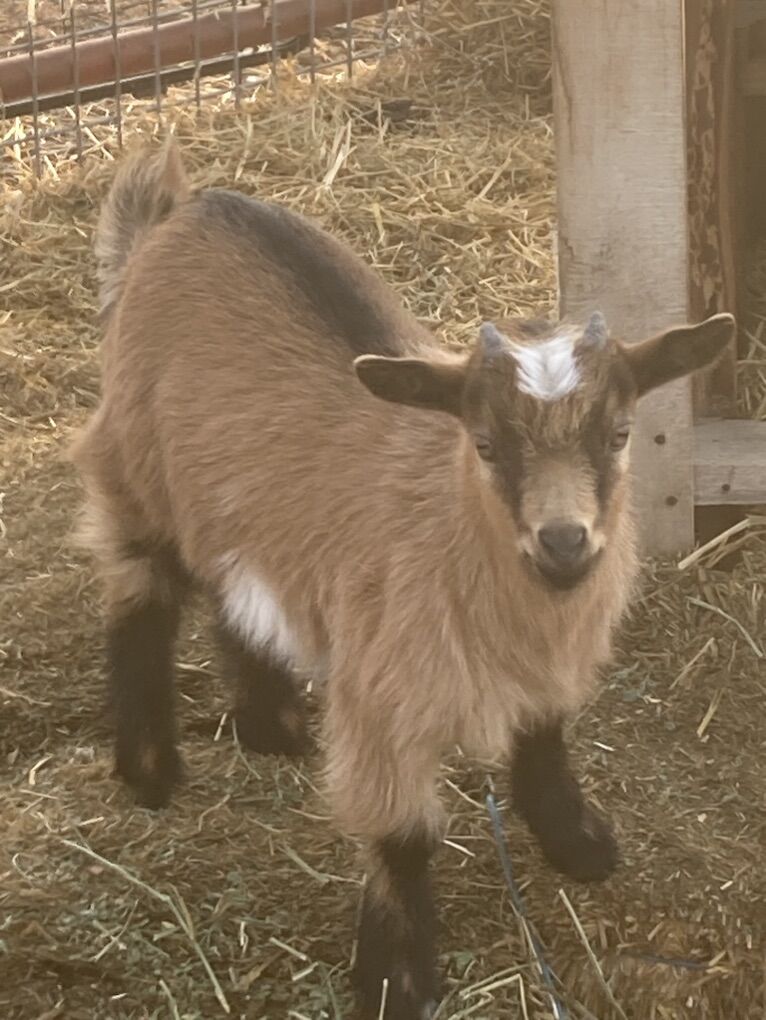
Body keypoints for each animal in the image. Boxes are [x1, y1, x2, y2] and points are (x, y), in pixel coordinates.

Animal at [71, 140, 734, 1020]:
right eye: (485, 444)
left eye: (620, 434)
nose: (564, 541)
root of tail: (184, 211)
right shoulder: (382, 696)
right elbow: (404, 835)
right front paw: (399, 976)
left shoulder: (548, 665)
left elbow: (543, 739)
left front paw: (578, 843)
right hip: (136, 468)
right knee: (138, 592)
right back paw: (149, 769)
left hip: (233, 495)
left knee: (236, 588)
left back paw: (271, 724)